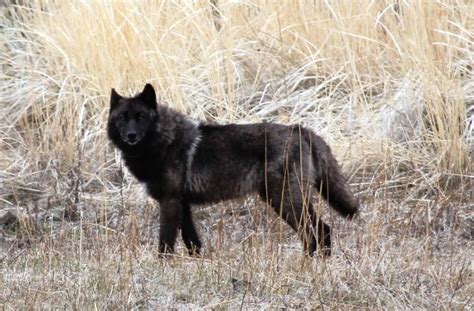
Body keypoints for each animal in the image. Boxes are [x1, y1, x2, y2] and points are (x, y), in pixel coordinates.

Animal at [108, 84, 360, 258]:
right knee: (323, 230)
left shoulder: (169, 202)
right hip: (290, 200)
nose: (131, 136)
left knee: (313, 232)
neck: (163, 142)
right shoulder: (182, 204)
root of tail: (299, 129)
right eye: (123, 118)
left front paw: (163, 266)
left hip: (283, 201)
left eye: (141, 117)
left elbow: (165, 242)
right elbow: (192, 242)